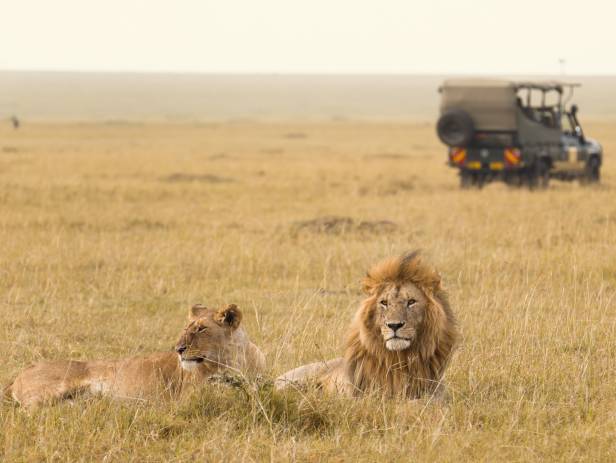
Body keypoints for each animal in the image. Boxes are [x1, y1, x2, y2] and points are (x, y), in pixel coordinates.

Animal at [5, 304, 264, 406]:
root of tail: (18, 375)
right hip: (50, 391)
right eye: (186, 328)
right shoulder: (189, 398)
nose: (178, 349)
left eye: (201, 329)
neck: (236, 360)